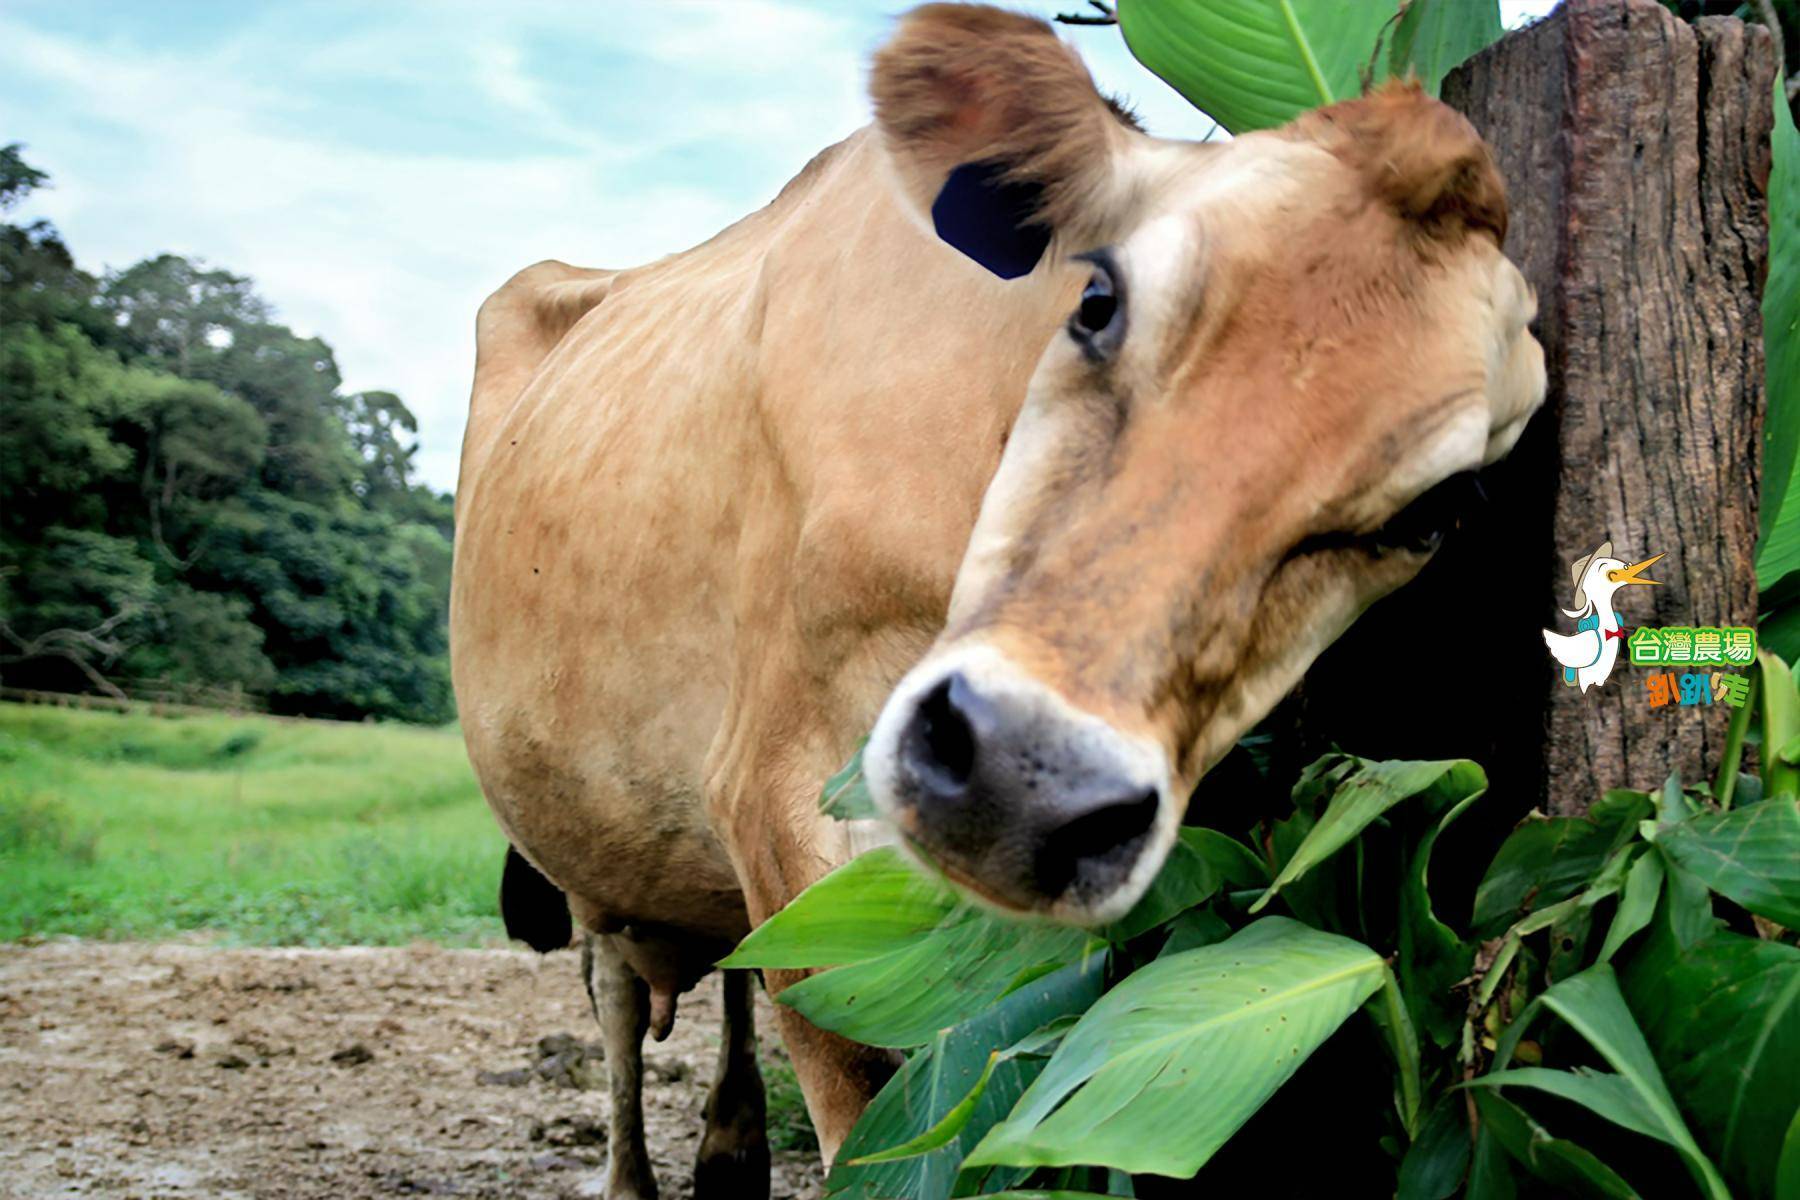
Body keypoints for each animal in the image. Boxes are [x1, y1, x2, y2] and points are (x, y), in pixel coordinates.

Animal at [446, 4, 1533, 1194]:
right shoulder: (773, 793)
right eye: (1098, 300)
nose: (1023, 778)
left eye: (1437, 508)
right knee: (614, 991)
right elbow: (852, 1087)